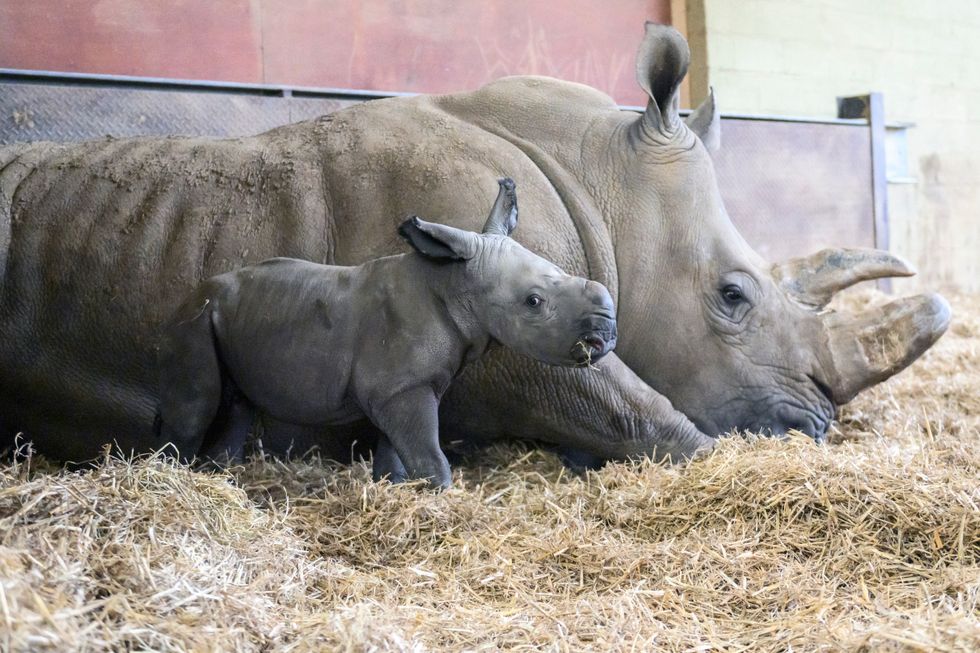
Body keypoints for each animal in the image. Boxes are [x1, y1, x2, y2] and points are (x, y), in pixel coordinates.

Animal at [157, 179, 617, 487]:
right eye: (534, 301)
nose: (607, 334)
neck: (455, 281)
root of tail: (191, 295)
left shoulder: (400, 386)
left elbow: (395, 449)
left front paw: (392, 489)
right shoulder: (402, 387)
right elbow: (428, 455)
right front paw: (437, 498)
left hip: (225, 317)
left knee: (238, 405)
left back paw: (217, 475)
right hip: (193, 319)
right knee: (196, 405)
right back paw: (171, 475)